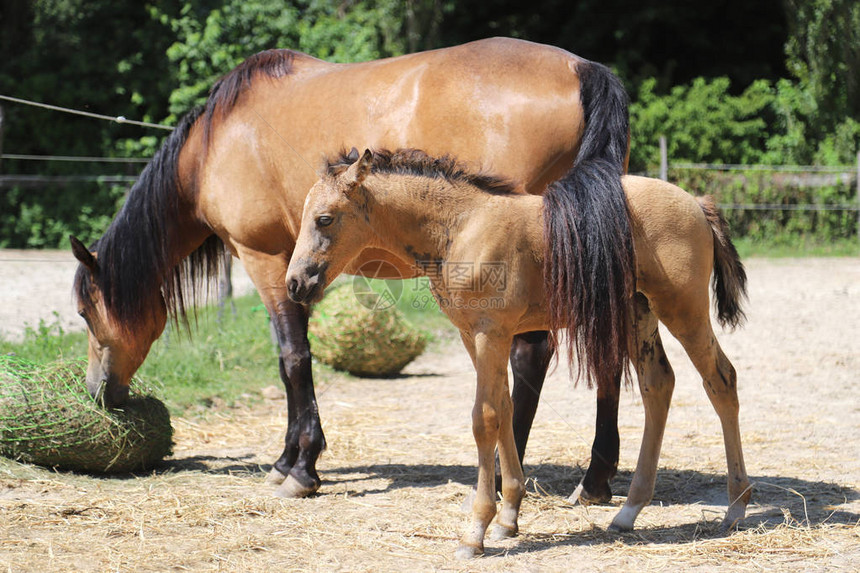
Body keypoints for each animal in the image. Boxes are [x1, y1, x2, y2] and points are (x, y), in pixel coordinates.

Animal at [69, 38, 632, 498]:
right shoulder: (294, 267)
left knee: (530, 354)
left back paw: (502, 472)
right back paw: (596, 479)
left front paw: (298, 468)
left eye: (84, 312)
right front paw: (290, 459)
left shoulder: (265, 260)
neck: (213, 144)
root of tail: (581, 69)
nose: (97, 392)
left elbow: (293, 359)